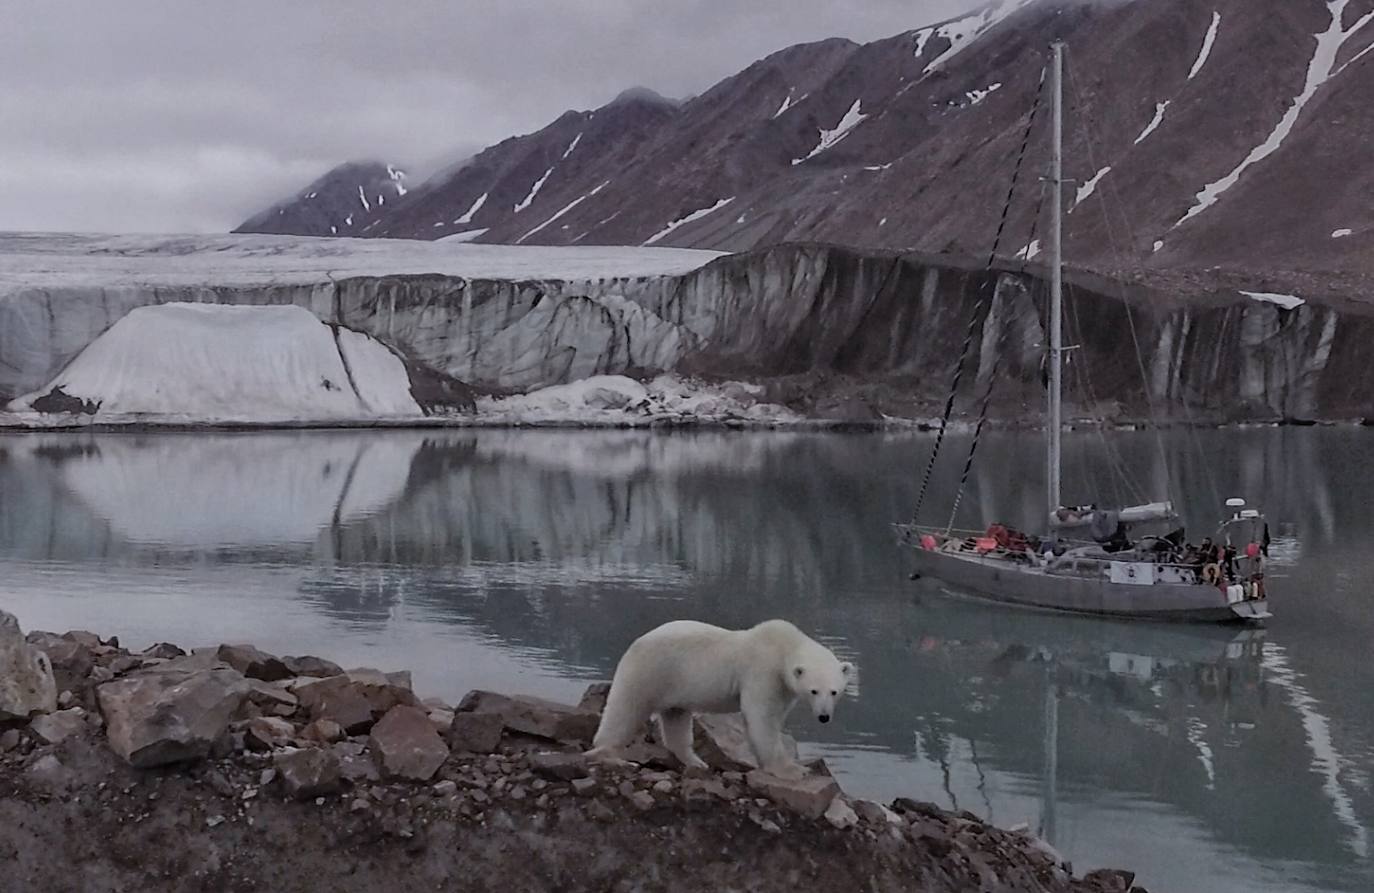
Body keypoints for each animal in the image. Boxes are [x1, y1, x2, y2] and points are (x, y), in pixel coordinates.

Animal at [585, 618, 851, 769]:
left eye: (834, 691)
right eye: (814, 690)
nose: (824, 717)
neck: (784, 648)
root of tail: (635, 643)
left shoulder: (783, 687)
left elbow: (775, 716)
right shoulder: (762, 672)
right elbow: (761, 717)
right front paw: (787, 767)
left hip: (674, 683)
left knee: (676, 718)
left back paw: (697, 762)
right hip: (650, 671)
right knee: (625, 710)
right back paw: (609, 755)